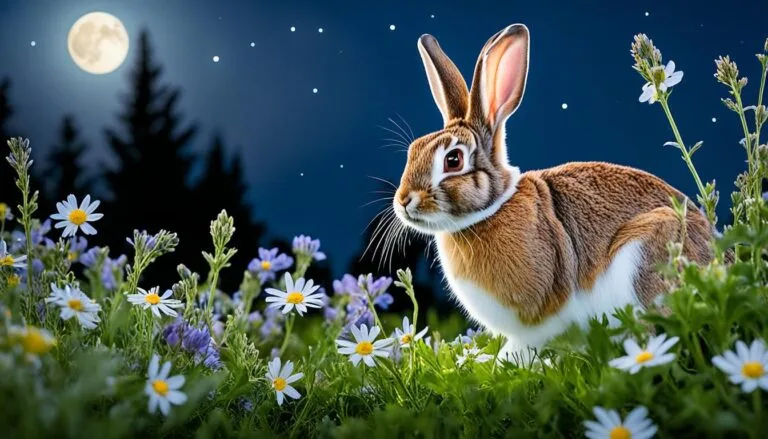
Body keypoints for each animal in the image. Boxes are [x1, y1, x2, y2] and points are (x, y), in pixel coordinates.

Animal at [392, 23, 713, 364]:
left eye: (453, 160)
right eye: (413, 151)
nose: (404, 201)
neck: (490, 209)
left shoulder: (539, 319)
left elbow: (524, 347)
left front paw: (507, 365)